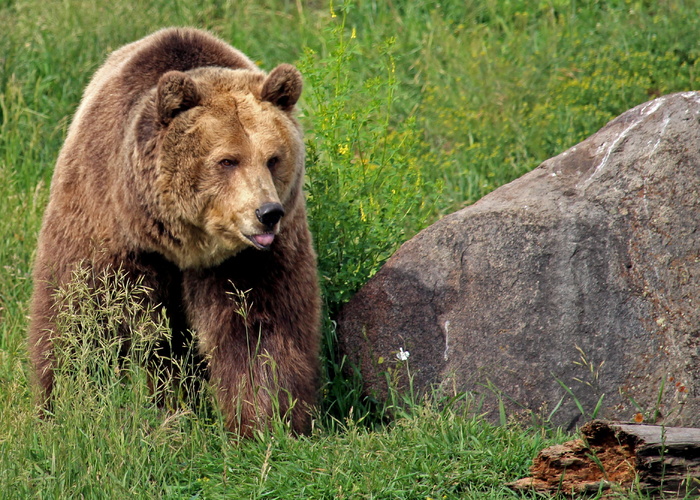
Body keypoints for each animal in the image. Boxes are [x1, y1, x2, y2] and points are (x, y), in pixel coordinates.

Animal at [28, 27, 322, 436]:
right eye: (227, 160)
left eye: (273, 158)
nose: (267, 213)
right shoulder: (107, 225)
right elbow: (83, 314)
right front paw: (73, 405)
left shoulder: (250, 260)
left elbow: (260, 327)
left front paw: (269, 420)